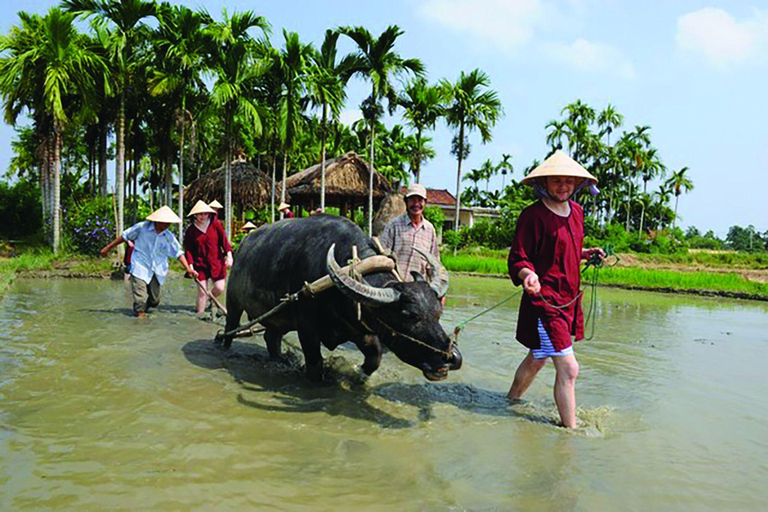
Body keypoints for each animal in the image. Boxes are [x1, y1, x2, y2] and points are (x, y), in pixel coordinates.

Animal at [222, 214, 462, 382]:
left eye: (438, 313)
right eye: (408, 314)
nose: (451, 358)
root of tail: (242, 245)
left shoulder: (361, 327)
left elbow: (375, 358)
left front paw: (359, 374)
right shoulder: (307, 328)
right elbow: (315, 364)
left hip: (279, 317)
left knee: (271, 337)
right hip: (233, 302)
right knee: (230, 328)